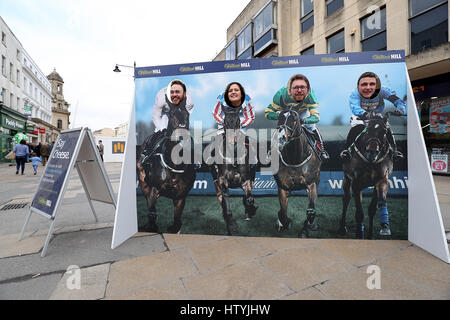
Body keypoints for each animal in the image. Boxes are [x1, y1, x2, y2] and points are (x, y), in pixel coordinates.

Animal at [135, 96, 195, 234]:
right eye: (172, 114)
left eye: (187, 115)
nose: (183, 138)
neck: (174, 164)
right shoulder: (153, 189)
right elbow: (152, 214)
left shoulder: (180, 196)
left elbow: (177, 223)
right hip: (143, 181)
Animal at [207, 104, 256, 235]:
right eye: (225, 121)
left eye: (238, 121)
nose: (232, 141)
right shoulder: (222, 180)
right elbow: (226, 201)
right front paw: (232, 225)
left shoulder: (245, 179)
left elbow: (249, 198)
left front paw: (250, 210)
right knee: (221, 199)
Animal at [272, 96, 322, 239]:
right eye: (279, 117)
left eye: (295, 119)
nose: (281, 138)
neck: (295, 158)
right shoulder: (283, 187)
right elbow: (282, 212)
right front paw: (283, 223)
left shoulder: (311, 183)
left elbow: (311, 210)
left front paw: (306, 229)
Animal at [340, 111, 396, 239]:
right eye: (367, 130)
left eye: (384, 132)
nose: (372, 152)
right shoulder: (356, 183)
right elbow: (359, 213)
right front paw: (359, 234)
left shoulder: (381, 180)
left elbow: (375, 207)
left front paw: (382, 228)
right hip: (347, 178)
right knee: (346, 198)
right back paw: (342, 227)